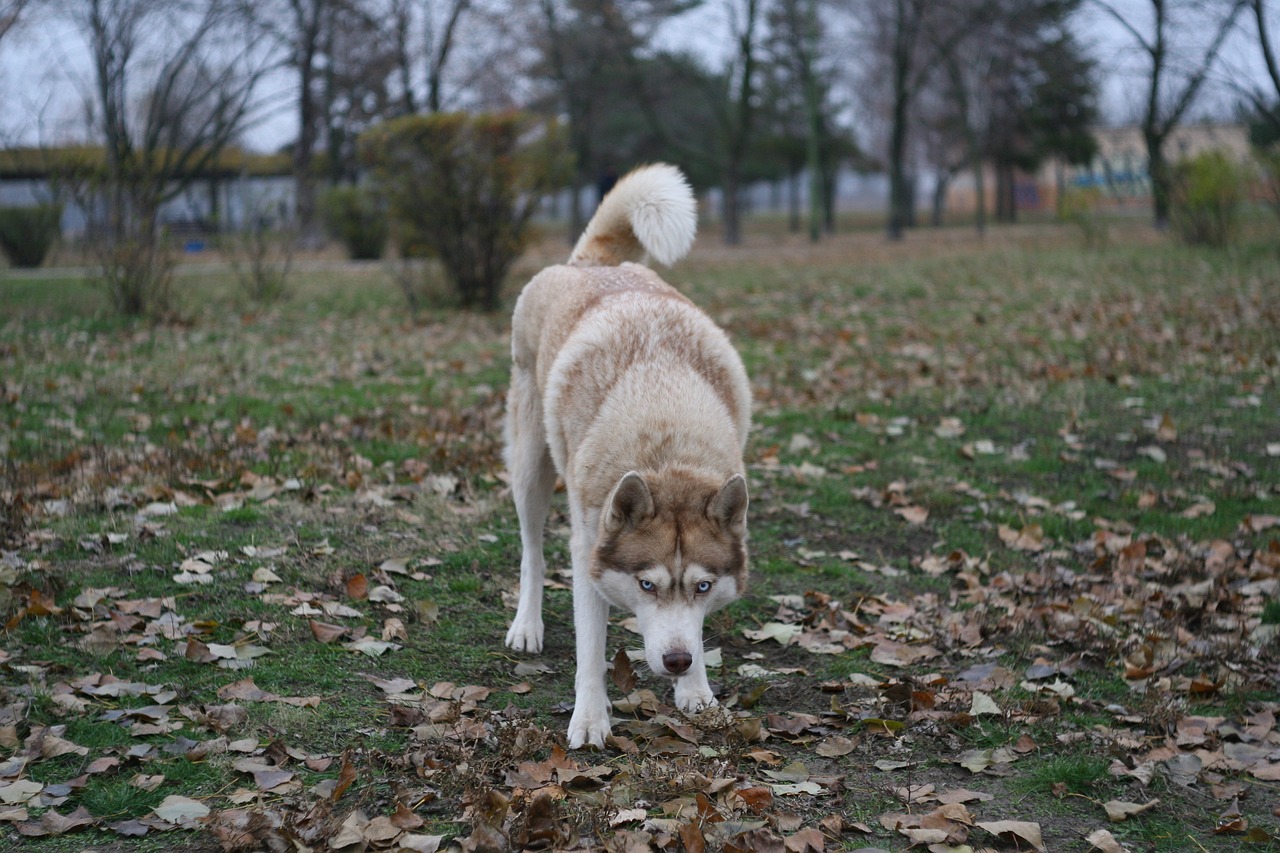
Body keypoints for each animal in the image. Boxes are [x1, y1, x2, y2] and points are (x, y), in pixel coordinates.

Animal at [501, 162, 747, 747]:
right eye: (646, 585)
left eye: (703, 585)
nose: (677, 663)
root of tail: (590, 267)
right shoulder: (589, 548)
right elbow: (590, 650)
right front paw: (590, 718)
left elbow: (699, 630)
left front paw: (696, 692)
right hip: (531, 468)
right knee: (531, 550)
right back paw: (527, 625)